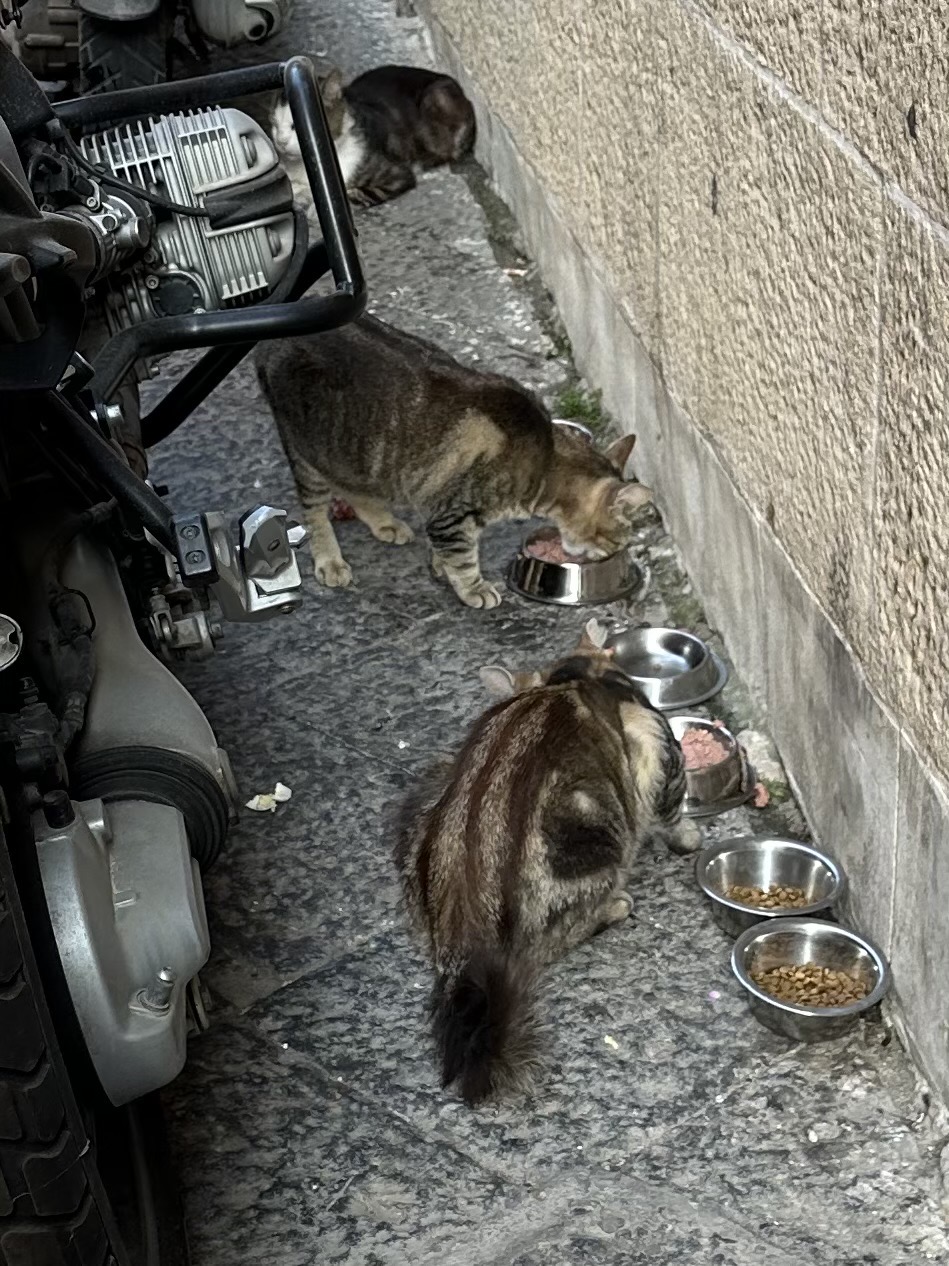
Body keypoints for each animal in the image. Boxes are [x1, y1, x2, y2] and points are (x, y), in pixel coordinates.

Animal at [253, 319, 652, 610]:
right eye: (617, 540)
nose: (614, 554)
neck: (542, 462)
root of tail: (270, 339)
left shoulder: (441, 509)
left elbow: (449, 549)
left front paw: (439, 567)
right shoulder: (452, 513)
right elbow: (463, 556)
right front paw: (473, 587)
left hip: (352, 453)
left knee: (353, 487)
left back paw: (384, 522)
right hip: (306, 450)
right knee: (314, 510)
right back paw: (330, 560)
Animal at [269, 62, 475, 211]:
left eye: (294, 126)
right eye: (274, 125)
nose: (281, 141)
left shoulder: (397, 175)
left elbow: (356, 196)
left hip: (432, 100)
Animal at [394, 617, 693, 1103]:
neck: (571, 678)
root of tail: (464, 925)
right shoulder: (654, 735)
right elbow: (672, 800)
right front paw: (689, 836)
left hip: (427, 806)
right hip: (591, 849)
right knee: (558, 938)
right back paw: (613, 907)